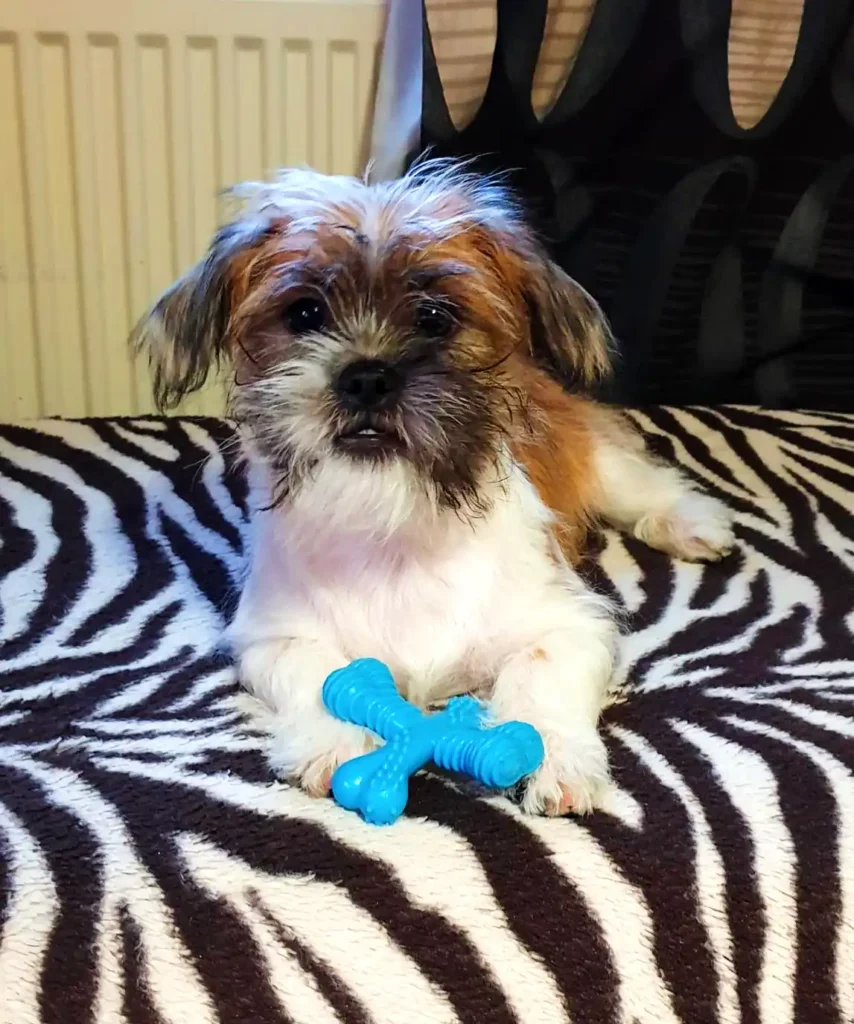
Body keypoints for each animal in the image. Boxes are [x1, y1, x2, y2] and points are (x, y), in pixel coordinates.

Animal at [135, 161, 733, 815]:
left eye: (435, 318)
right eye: (304, 314)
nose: (367, 376)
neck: (394, 525)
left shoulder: (570, 626)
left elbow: (540, 676)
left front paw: (552, 754)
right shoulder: (273, 635)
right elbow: (318, 672)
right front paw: (336, 741)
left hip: (598, 461)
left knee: (643, 484)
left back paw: (693, 523)